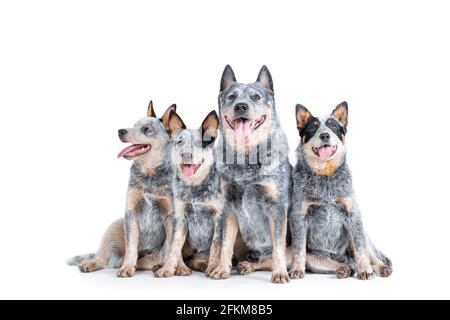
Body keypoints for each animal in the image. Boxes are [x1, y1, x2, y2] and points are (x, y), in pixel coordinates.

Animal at [67, 102, 177, 278]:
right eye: (134, 125)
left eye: (146, 129)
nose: (120, 131)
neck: (149, 173)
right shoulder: (130, 211)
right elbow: (131, 246)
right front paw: (127, 267)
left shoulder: (170, 215)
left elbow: (170, 248)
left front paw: (167, 269)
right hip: (114, 225)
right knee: (102, 257)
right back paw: (92, 264)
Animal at [155, 110, 225, 278]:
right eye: (180, 141)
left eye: (200, 143)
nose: (186, 155)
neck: (194, 187)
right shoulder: (180, 218)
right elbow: (174, 248)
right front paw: (167, 268)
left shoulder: (219, 218)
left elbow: (216, 246)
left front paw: (213, 268)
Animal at [209, 64, 290, 282]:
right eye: (231, 97)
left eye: (255, 96)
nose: (241, 107)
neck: (246, 159)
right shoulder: (229, 207)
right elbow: (225, 244)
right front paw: (221, 269)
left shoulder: (277, 208)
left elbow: (278, 248)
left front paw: (280, 273)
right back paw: (244, 265)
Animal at [288, 102, 394, 280]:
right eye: (313, 127)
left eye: (333, 126)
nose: (324, 135)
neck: (325, 176)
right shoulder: (300, 215)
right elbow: (299, 249)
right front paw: (297, 269)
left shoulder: (352, 214)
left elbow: (361, 249)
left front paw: (366, 270)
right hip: (318, 258)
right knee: (340, 264)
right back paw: (345, 268)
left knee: (369, 254)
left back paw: (379, 267)